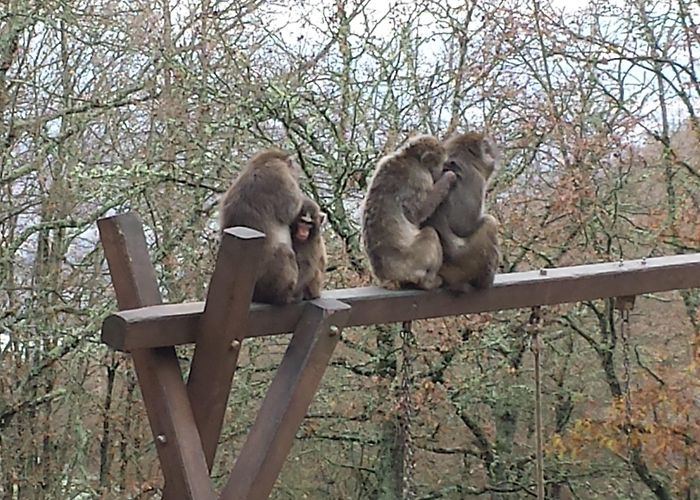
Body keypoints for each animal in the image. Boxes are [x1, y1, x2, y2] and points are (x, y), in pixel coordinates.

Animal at [220, 148, 304, 304]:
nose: (298, 170)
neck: (261, 162)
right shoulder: (280, 175)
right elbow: (289, 210)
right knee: (284, 251)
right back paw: (285, 296)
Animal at [360, 134, 460, 290]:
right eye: (442, 163)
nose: (444, 169)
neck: (410, 157)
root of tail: (387, 277)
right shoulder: (420, 177)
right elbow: (417, 212)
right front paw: (449, 176)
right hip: (414, 262)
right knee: (430, 233)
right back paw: (429, 282)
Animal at [424, 131, 500, 292]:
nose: (494, 160)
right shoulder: (475, 179)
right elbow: (464, 226)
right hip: (470, 262)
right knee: (489, 222)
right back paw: (485, 282)